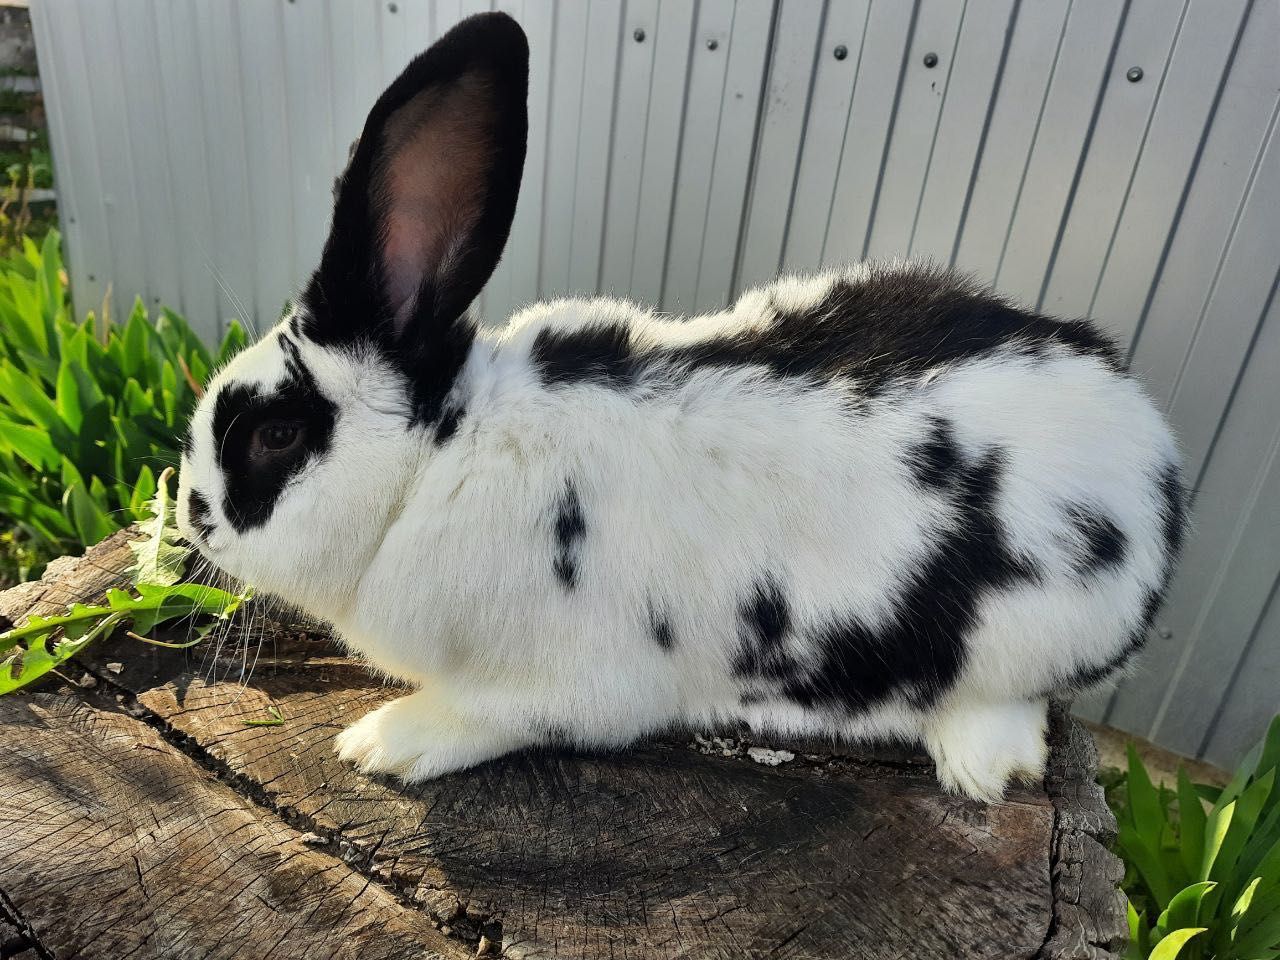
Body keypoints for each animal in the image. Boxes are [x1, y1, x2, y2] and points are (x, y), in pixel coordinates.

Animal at [175, 13, 1182, 803]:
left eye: (273, 434)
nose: (188, 512)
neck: (437, 463)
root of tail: (1155, 459)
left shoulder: (560, 687)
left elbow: (480, 718)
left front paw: (381, 742)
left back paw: (983, 766)